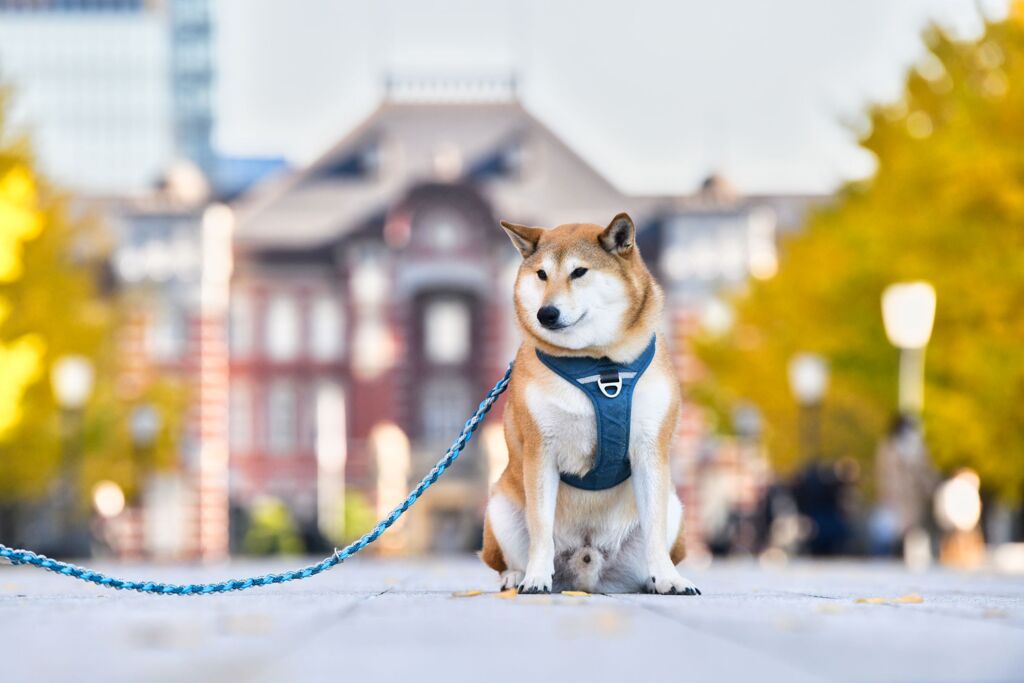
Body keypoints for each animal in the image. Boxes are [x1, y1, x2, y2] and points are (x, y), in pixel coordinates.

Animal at [483, 214, 700, 593]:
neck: (599, 364)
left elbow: (655, 531)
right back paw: (516, 575)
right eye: (541, 274)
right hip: (499, 509)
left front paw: (668, 578)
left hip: (675, 507)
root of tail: (586, 569)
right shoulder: (541, 450)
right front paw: (536, 577)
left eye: (579, 272)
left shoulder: (649, 449)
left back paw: (650, 580)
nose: (546, 313)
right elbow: (541, 528)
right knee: (505, 558)